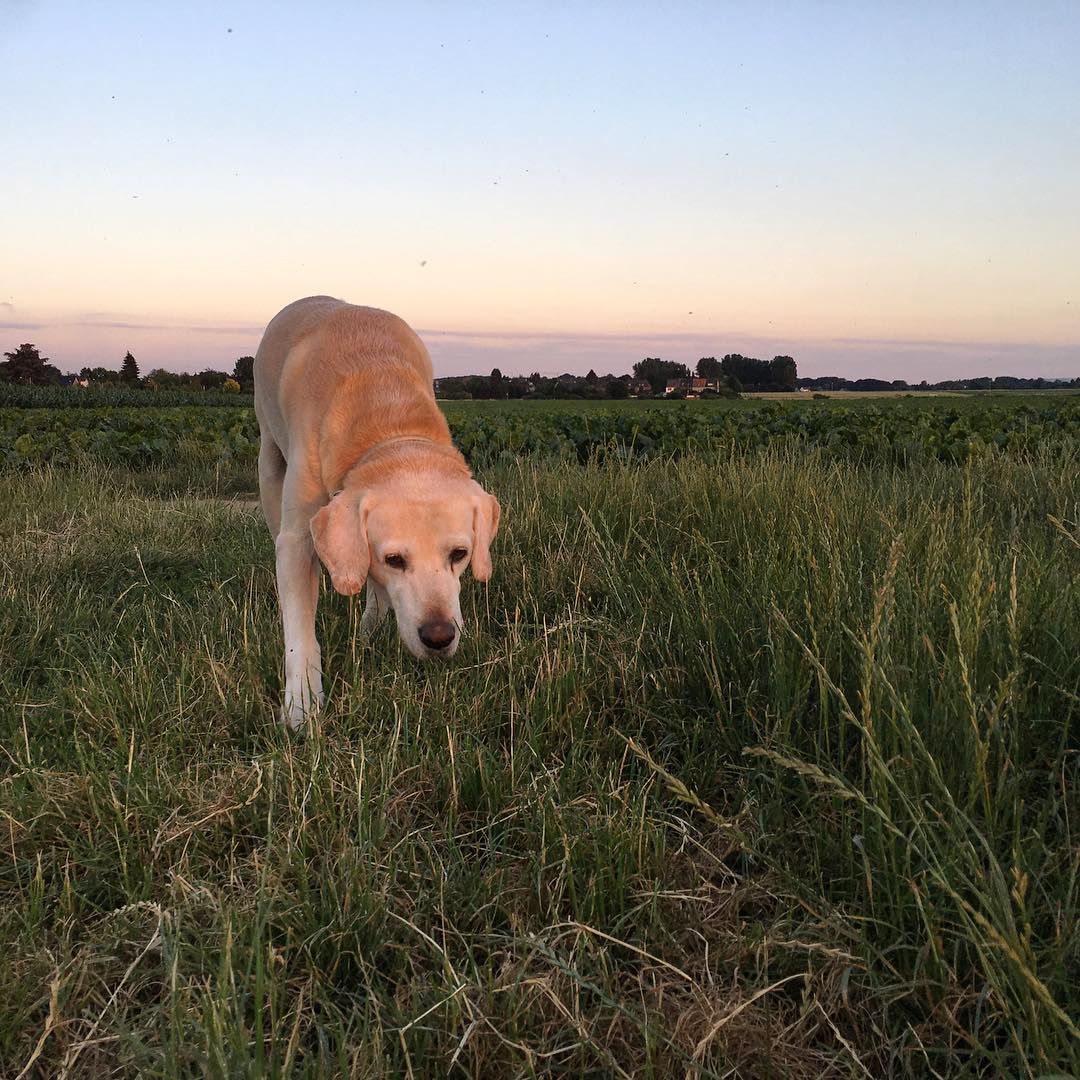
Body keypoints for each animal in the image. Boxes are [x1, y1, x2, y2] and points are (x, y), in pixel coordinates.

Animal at [252, 298, 501, 725]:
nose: (439, 637)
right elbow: (300, 634)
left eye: (460, 555)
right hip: (269, 461)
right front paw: (301, 705)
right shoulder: (297, 539)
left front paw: (370, 628)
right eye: (395, 559)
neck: (388, 419)